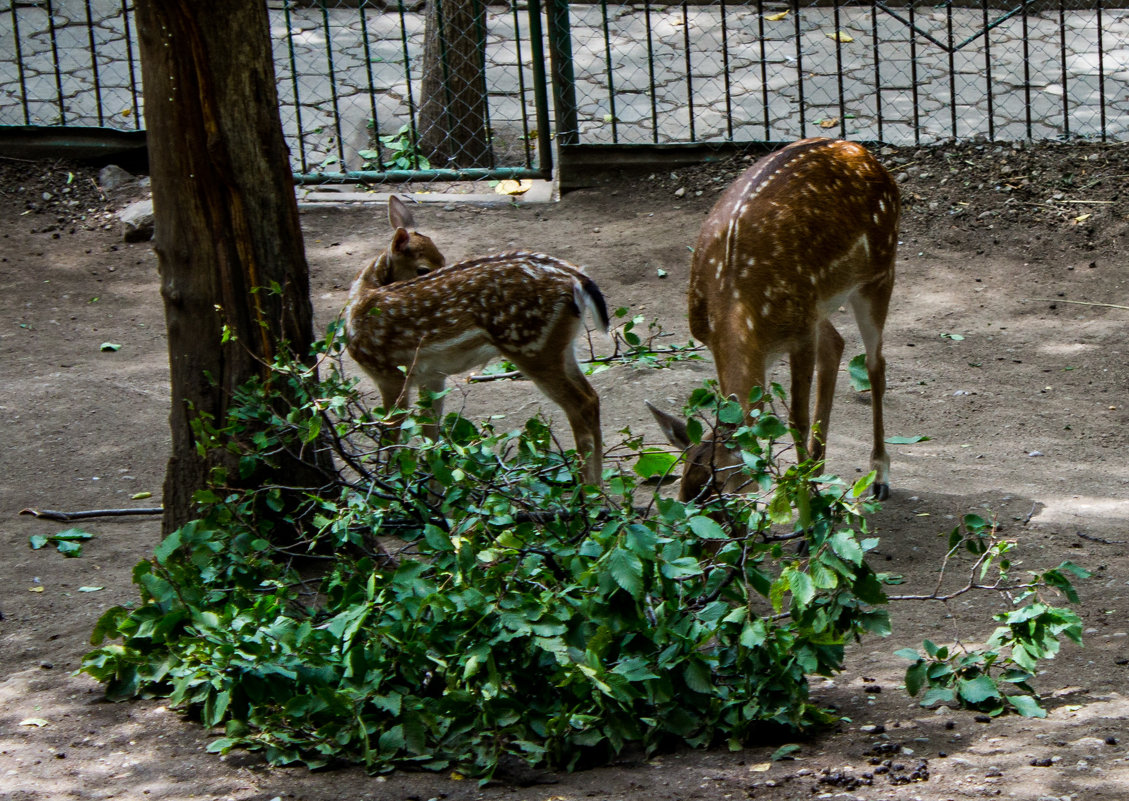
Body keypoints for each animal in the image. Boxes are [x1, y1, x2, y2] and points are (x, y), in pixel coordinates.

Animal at [345, 199, 609, 488]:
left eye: (441, 262)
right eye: (424, 268)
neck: (359, 300)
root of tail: (576, 278)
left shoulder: (388, 372)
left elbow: (391, 436)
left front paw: (389, 486)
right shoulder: (432, 376)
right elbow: (430, 437)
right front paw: (434, 494)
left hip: (530, 346)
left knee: (580, 404)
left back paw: (587, 491)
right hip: (560, 346)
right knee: (593, 397)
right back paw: (599, 490)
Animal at [654, 137, 898, 499]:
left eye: (719, 486)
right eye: (681, 491)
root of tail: (861, 150)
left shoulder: (800, 333)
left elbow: (796, 419)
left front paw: (805, 500)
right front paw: (806, 486)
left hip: (880, 270)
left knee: (875, 364)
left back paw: (878, 476)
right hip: (817, 303)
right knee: (836, 343)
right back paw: (818, 469)